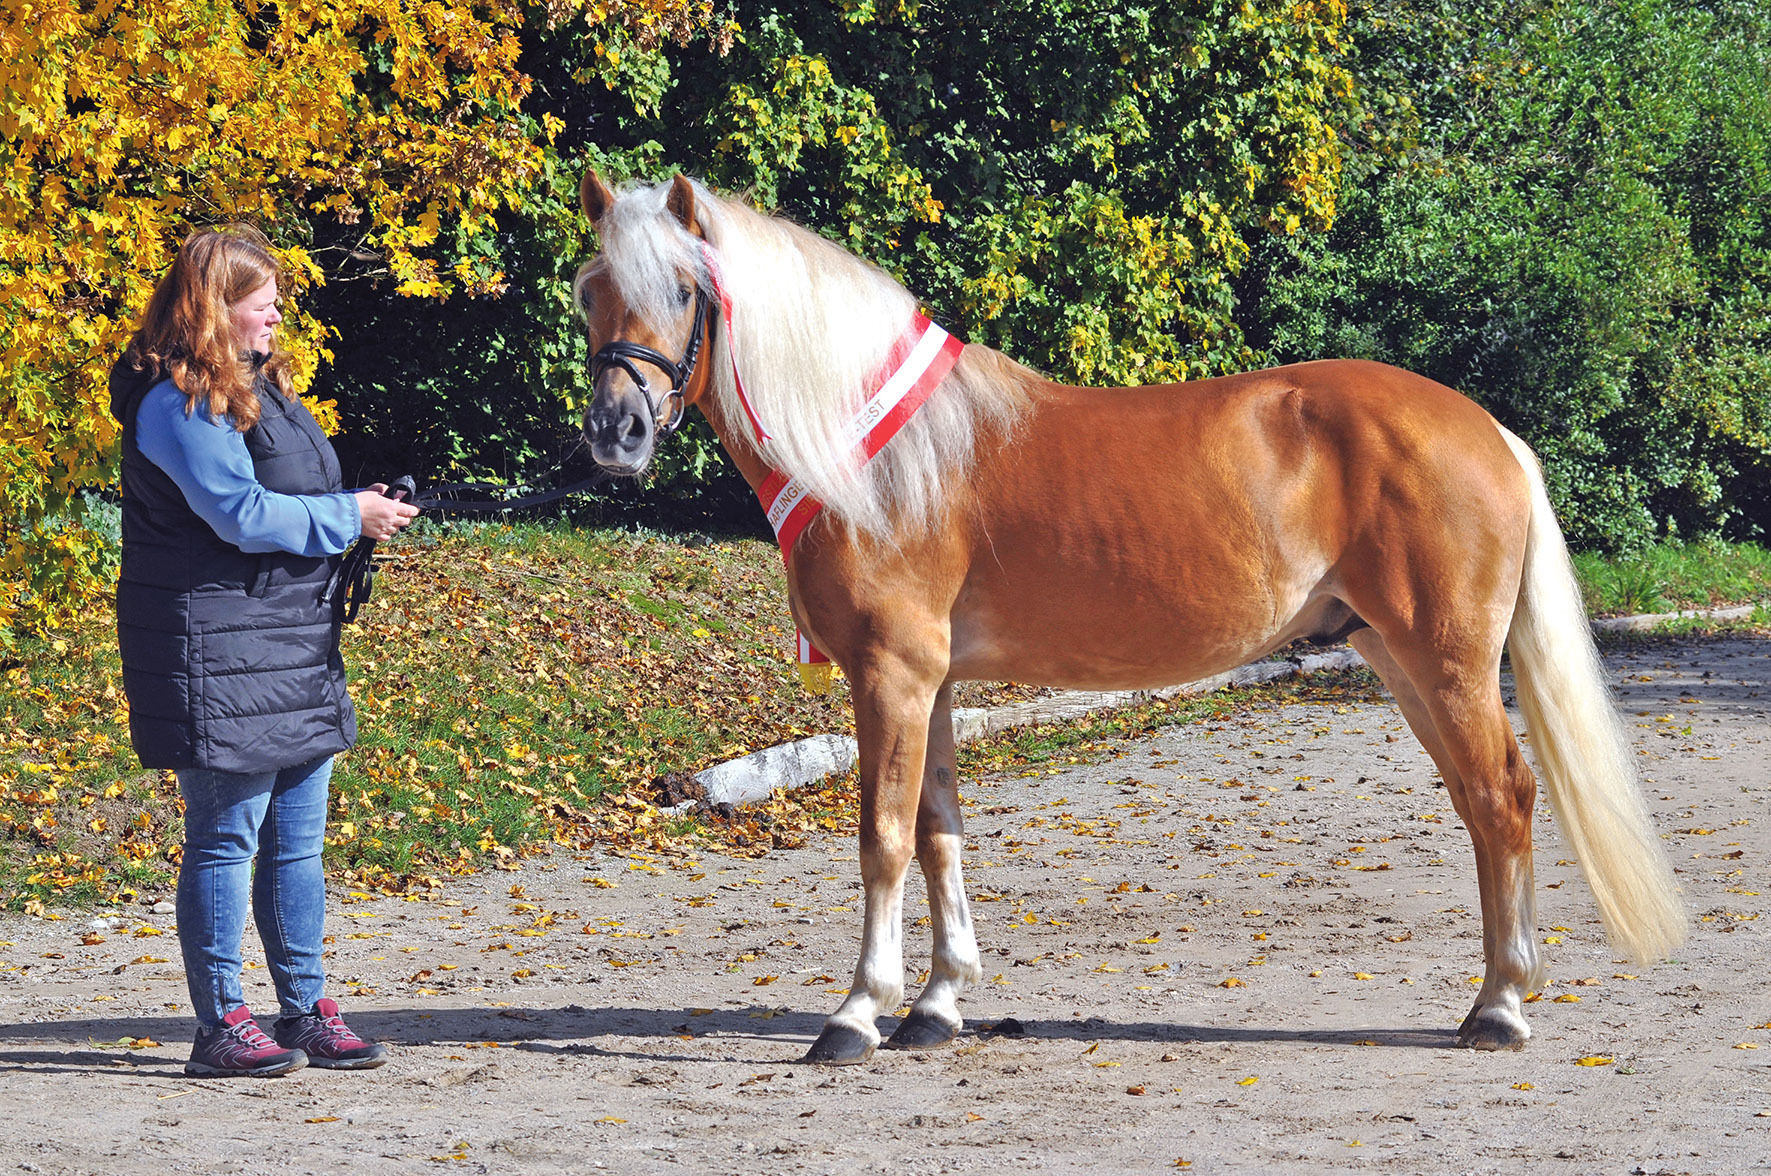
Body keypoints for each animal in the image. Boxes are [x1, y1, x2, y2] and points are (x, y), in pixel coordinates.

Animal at [573, 167, 1678, 1062]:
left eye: (685, 290)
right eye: (589, 292)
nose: (616, 435)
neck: (881, 462)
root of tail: (1489, 429)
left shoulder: (889, 673)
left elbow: (880, 837)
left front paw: (855, 1014)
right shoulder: (931, 684)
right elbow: (937, 830)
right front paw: (935, 1006)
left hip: (1443, 661)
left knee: (1501, 797)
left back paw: (1499, 1010)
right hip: (1399, 661)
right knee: (1485, 803)